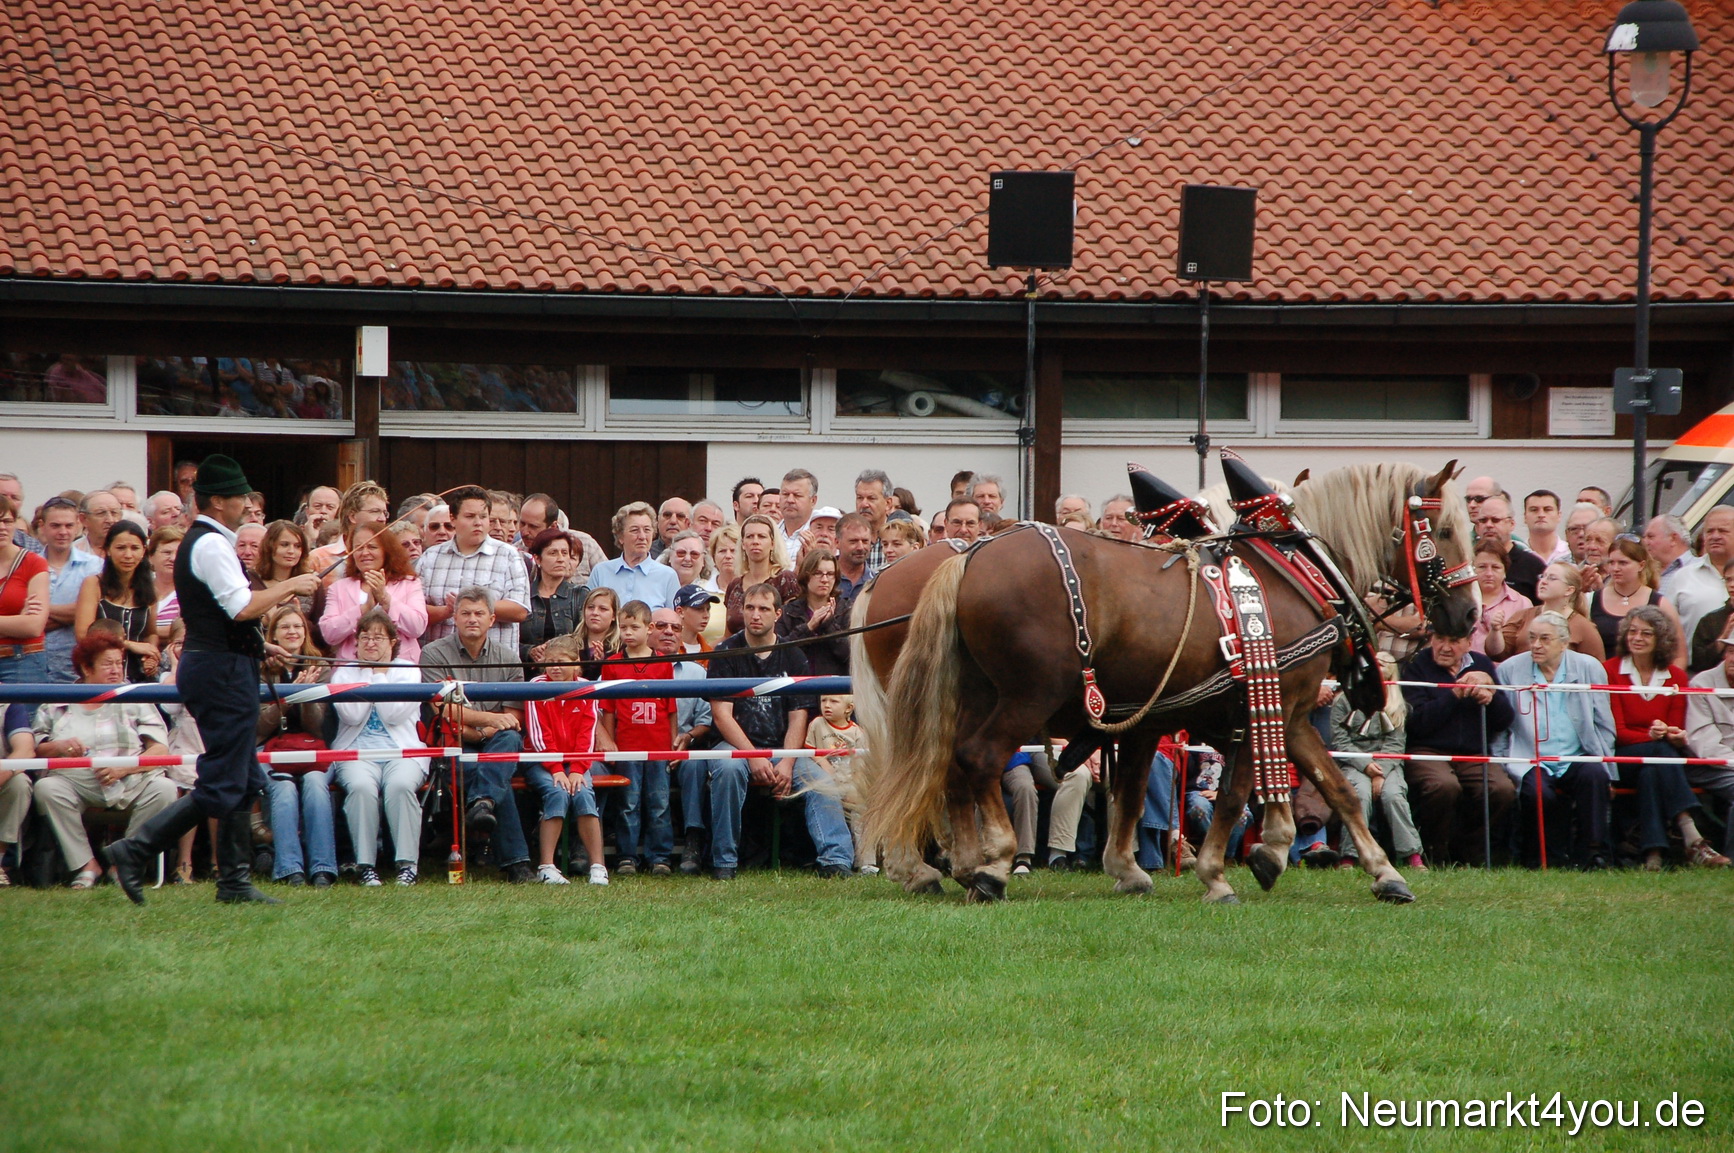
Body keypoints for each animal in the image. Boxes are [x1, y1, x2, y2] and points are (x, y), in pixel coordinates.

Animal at [849, 460, 1477, 904]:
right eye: (1445, 530)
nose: (1468, 614)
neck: (1287, 572)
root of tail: (970, 558)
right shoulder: (1268, 704)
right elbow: (1261, 792)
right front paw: (1223, 874)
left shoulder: (1212, 715)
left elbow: (1139, 792)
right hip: (1028, 695)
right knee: (975, 759)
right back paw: (990, 865)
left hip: (969, 695)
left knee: (946, 764)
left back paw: (954, 865)